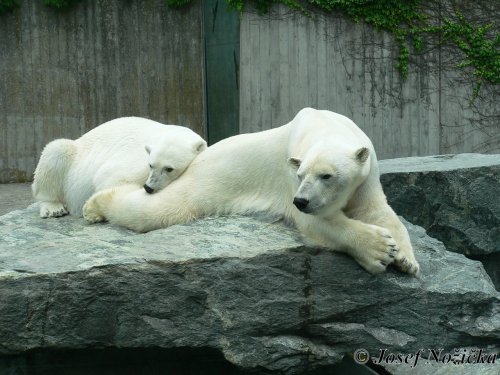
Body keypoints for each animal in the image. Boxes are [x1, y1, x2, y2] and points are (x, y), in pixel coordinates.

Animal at [31, 117, 207, 217]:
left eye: (169, 169)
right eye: (151, 165)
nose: (149, 188)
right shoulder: (138, 159)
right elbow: (110, 177)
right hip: (72, 156)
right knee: (55, 150)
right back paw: (53, 208)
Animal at [84, 108, 420, 276]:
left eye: (327, 175)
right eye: (301, 174)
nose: (301, 200)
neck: (326, 125)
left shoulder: (367, 170)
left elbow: (378, 211)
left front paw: (407, 260)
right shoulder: (289, 170)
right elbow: (317, 222)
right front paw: (379, 249)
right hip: (208, 179)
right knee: (157, 209)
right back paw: (95, 206)